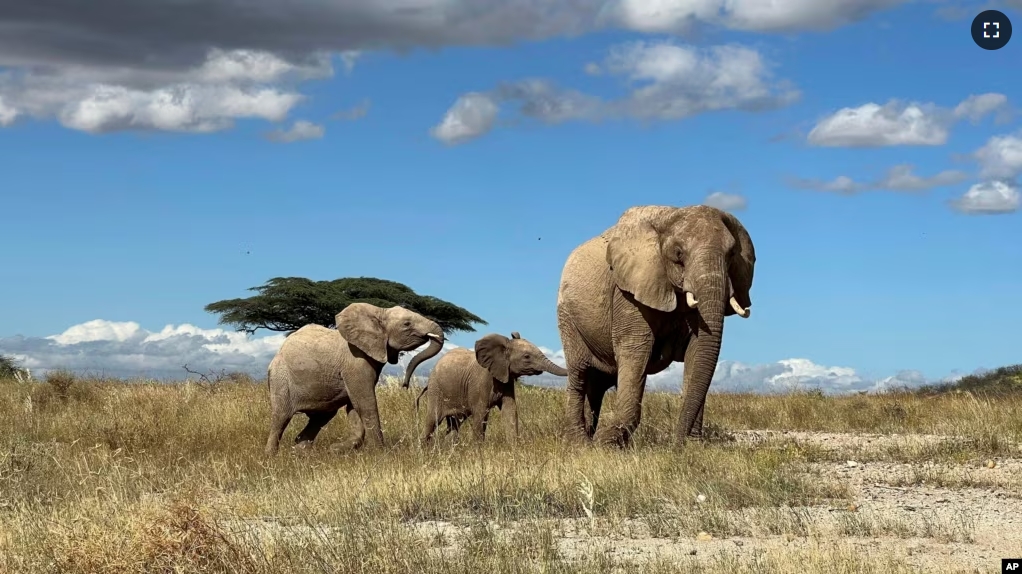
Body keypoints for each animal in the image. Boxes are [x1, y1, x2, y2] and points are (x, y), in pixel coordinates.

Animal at [263, 302, 443, 453]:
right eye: (407, 324)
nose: (405, 385)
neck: (378, 312)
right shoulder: (355, 361)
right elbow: (365, 402)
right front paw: (380, 452)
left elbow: (354, 406)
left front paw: (336, 449)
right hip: (281, 378)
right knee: (281, 417)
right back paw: (271, 456)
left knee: (321, 418)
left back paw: (300, 453)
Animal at [416, 330, 576, 443]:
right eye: (526, 357)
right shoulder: (480, 381)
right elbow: (481, 413)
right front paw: (478, 450)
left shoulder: (506, 379)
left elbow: (510, 410)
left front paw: (514, 447)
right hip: (436, 390)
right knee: (433, 419)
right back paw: (424, 449)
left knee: (454, 423)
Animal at [555, 204, 756, 447]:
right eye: (678, 254)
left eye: (732, 254)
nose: (677, 444)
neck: (670, 216)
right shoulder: (628, 292)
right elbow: (635, 350)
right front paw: (606, 445)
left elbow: (698, 353)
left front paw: (694, 445)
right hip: (567, 316)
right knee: (579, 373)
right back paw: (579, 443)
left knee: (597, 383)